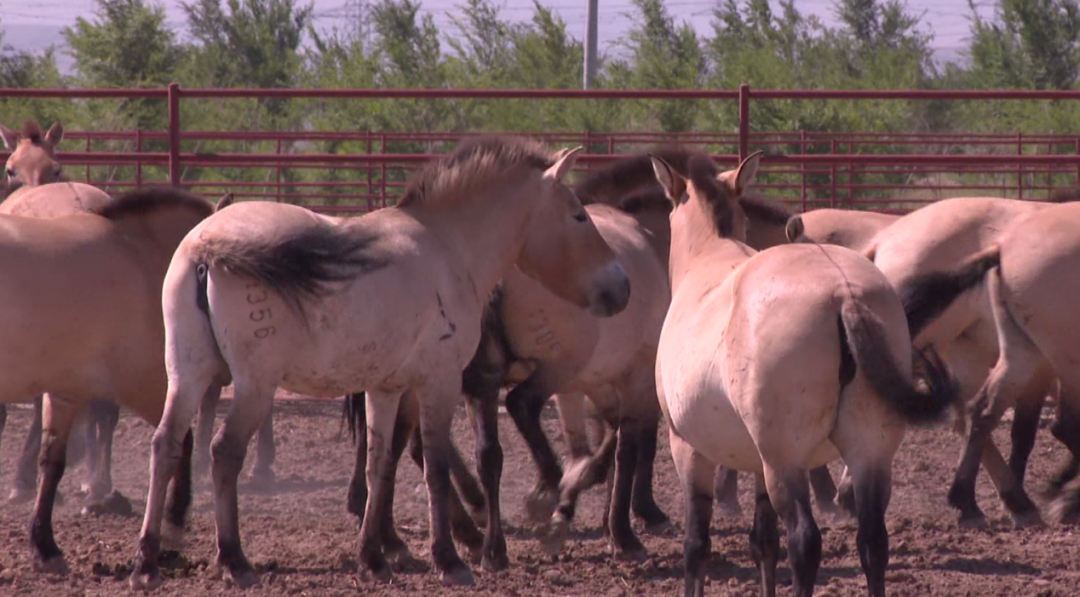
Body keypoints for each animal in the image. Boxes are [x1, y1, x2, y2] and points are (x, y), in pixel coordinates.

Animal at [0, 184, 214, 574]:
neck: (139, 255)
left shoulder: (66, 390)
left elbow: (52, 463)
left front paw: (44, 546)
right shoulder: (144, 385)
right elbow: (181, 440)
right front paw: (174, 524)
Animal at [128, 136, 630, 591]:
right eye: (579, 215)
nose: (621, 287)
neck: (448, 247)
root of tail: (208, 245)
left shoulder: (387, 387)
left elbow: (379, 465)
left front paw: (373, 559)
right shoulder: (438, 382)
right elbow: (435, 466)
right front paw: (449, 560)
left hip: (188, 374)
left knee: (165, 445)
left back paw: (147, 562)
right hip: (254, 386)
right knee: (224, 452)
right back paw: (234, 561)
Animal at [643, 151, 997, 595]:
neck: (711, 258)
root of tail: (844, 294)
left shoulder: (688, 449)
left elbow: (697, 545)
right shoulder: (757, 462)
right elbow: (763, 542)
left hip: (786, 463)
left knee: (805, 541)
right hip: (869, 454)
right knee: (873, 541)